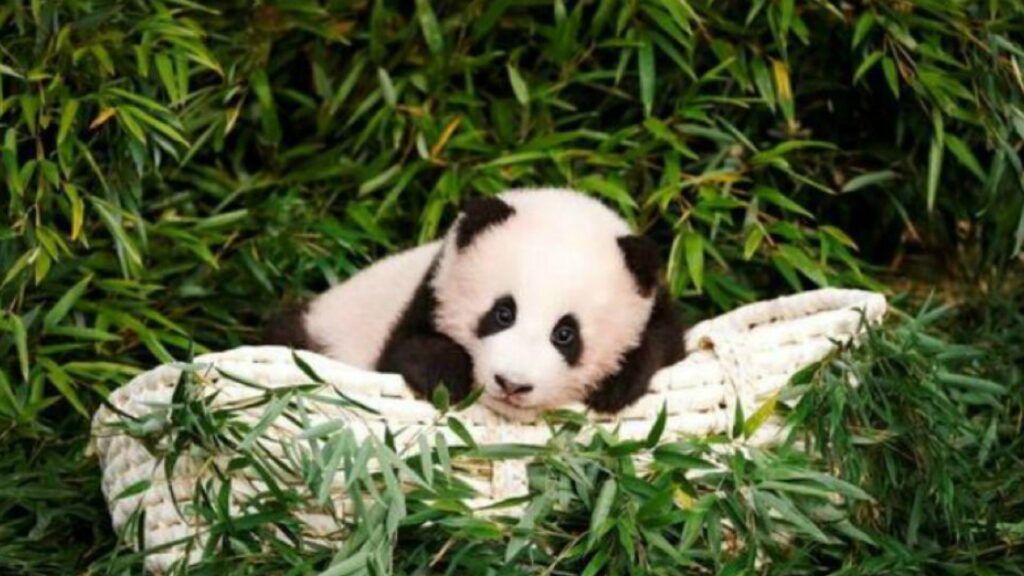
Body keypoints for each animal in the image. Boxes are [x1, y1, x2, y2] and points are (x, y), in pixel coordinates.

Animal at [271, 188, 685, 419]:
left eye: (565, 334)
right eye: (503, 313)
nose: (512, 384)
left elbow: (661, 344)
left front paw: (616, 384)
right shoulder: (428, 292)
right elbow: (405, 350)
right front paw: (446, 377)